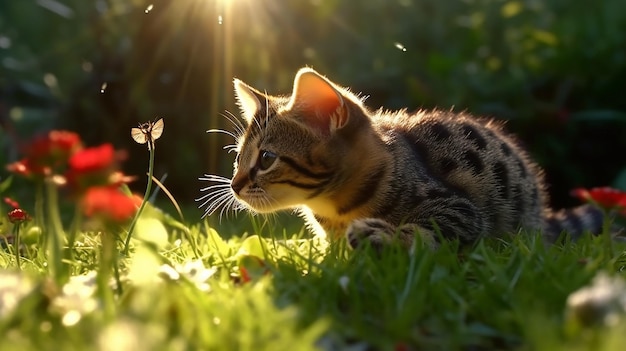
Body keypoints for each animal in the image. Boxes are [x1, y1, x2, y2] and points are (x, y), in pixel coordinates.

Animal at [199, 68, 600, 250]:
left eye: (266, 158)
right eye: (238, 158)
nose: (234, 185)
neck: (334, 207)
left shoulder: (462, 210)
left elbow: (426, 230)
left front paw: (381, 234)